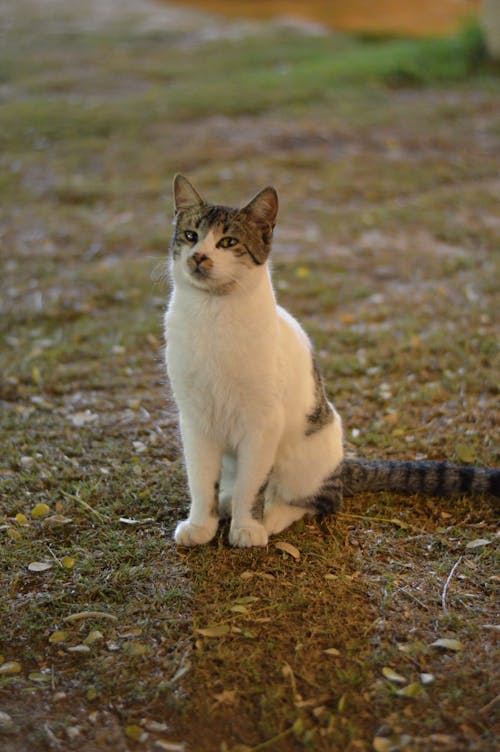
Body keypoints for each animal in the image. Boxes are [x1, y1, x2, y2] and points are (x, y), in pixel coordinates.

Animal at [164, 179, 500, 548]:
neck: (211, 315)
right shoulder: (195, 419)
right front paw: (201, 526)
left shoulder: (262, 423)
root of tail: (341, 464)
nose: (199, 256)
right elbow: (200, 480)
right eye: (191, 235)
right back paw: (227, 501)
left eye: (228, 242)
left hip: (303, 457)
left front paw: (248, 527)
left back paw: (273, 516)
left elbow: (252, 485)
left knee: (322, 498)